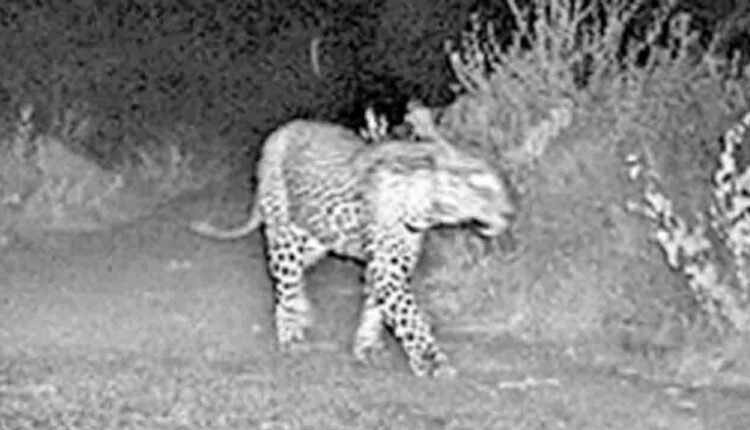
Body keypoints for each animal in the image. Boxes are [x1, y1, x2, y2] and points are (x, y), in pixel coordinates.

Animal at [188, 117, 516, 377]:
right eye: (481, 186)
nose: (510, 212)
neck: (430, 205)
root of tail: (280, 132)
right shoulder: (388, 268)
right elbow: (412, 320)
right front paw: (433, 362)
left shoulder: (385, 265)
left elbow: (376, 306)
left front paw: (366, 347)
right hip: (285, 234)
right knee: (285, 282)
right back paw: (291, 335)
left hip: (316, 238)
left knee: (295, 277)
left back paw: (302, 312)